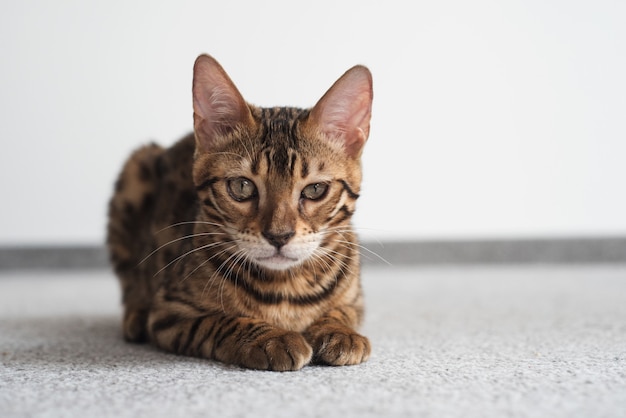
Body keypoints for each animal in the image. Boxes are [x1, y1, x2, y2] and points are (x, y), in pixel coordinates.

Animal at [106, 54, 370, 370]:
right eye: (242, 186)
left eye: (315, 190)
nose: (279, 236)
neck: (286, 288)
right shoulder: (169, 312)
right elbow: (218, 322)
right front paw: (270, 338)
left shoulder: (356, 301)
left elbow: (343, 311)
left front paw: (339, 330)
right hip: (136, 167)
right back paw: (134, 314)